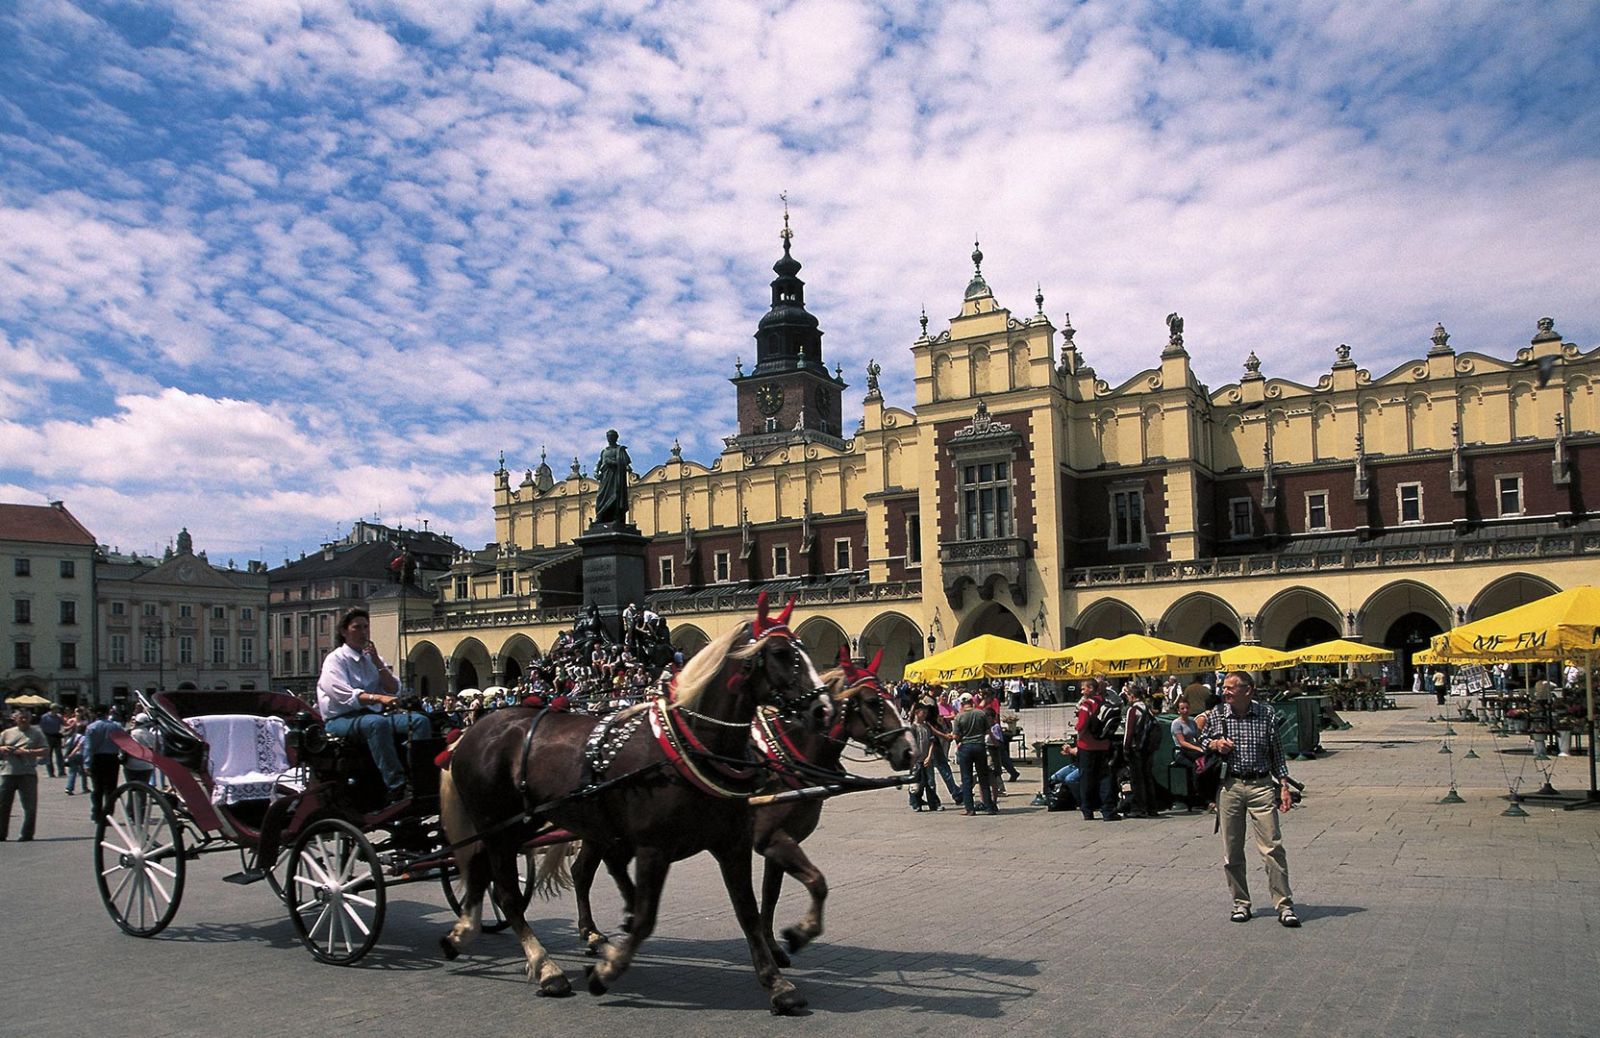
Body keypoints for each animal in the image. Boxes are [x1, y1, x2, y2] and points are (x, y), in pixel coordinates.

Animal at [444, 594, 832, 1010]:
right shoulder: (652, 848)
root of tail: (470, 730)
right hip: (497, 824)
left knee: (483, 871)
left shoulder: (733, 844)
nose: (824, 708)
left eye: (803, 649)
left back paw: (461, 933)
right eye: (780, 653)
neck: (689, 747)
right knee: (508, 894)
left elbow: (748, 911)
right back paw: (547, 967)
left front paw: (777, 983)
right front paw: (606, 971)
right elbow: (647, 917)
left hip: (518, 824)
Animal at [572, 652, 915, 966]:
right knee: (582, 872)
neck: (782, 760)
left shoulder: (780, 841)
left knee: (603, 866)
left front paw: (772, 946)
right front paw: (797, 934)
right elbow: (815, 882)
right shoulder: (770, 839)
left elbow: (771, 894)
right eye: (872, 701)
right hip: (598, 830)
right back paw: (592, 933)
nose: (909, 751)